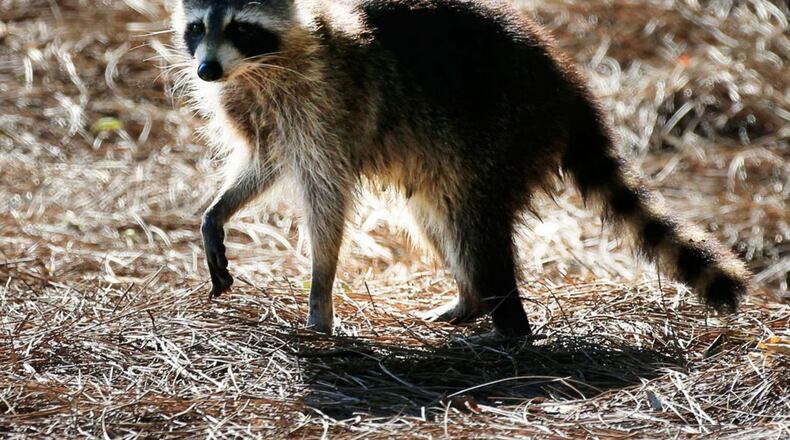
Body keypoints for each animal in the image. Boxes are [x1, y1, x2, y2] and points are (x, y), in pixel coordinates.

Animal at [171, 0, 751, 335]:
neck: (257, 67)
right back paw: (471, 300)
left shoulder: (328, 107)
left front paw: (321, 290)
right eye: (197, 27)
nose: (206, 70)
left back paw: (509, 323)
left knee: (474, 226)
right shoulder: (259, 112)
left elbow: (327, 201)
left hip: (505, 132)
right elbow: (265, 163)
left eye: (242, 28)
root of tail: (568, 85)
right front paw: (217, 212)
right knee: (435, 217)